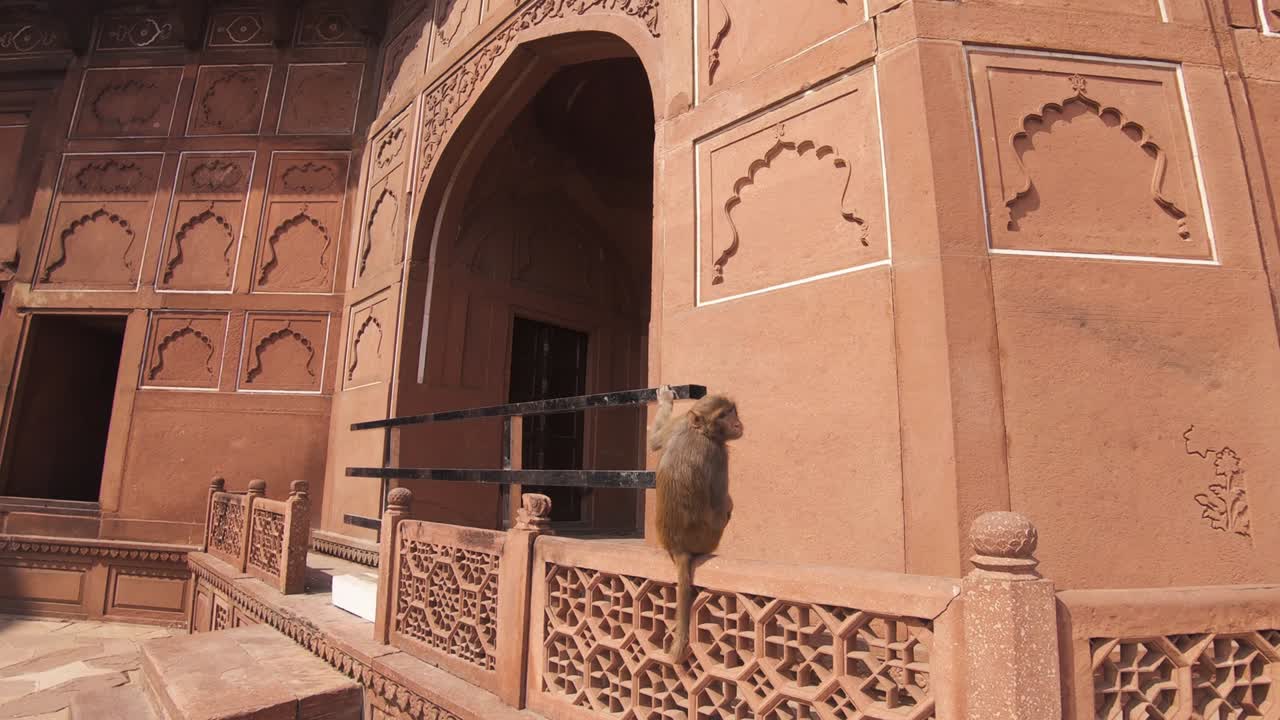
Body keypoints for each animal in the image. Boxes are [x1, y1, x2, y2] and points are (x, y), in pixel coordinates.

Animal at [649, 385, 743, 659]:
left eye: (732, 410)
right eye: (723, 415)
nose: (737, 423)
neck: (698, 430)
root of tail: (677, 547)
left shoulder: (680, 423)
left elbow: (655, 441)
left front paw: (665, 400)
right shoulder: (719, 455)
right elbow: (721, 503)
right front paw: (728, 504)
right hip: (709, 539)